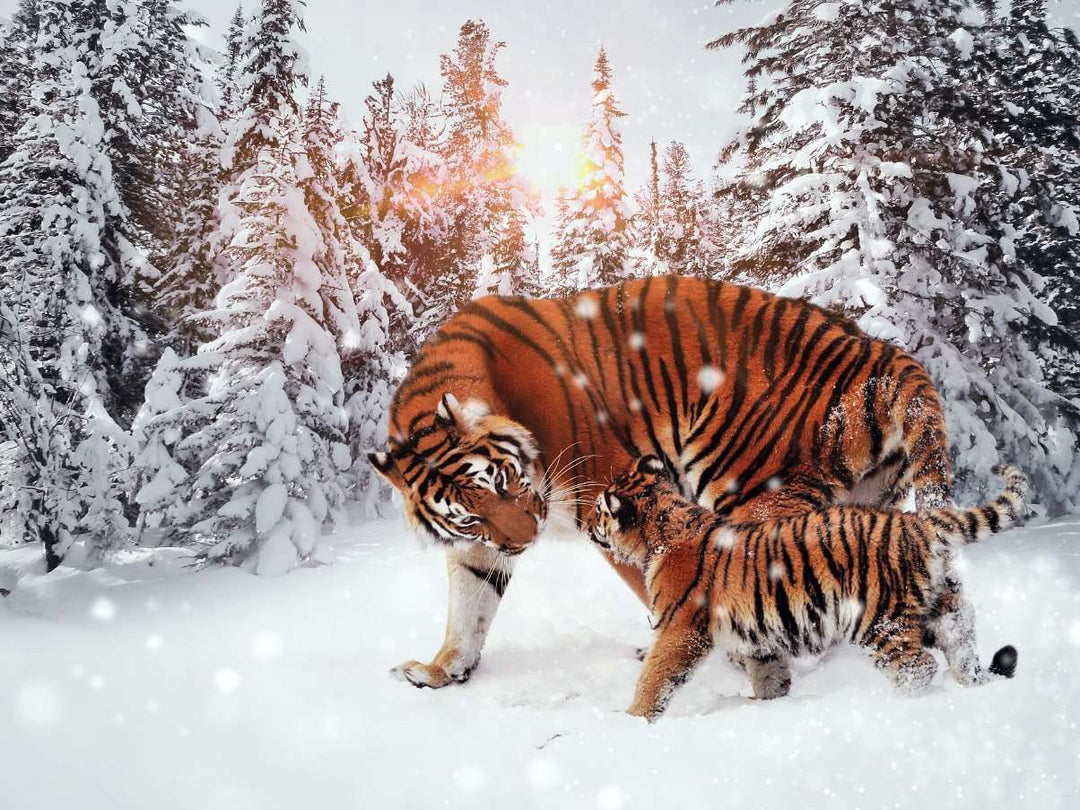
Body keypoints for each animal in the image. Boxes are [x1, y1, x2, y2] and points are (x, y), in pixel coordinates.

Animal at [367, 275, 955, 690]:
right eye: (470, 515)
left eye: (505, 481)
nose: (527, 540)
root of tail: (880, 351)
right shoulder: (481, 545)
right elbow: (469, 606)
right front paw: (441, 670)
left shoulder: (606, 494)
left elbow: (651, 582)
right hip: (866, 503)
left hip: (748, 488)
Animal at [587, 455, 1026, 721]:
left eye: (598, 511)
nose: (588, 526)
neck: (661, 530)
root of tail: (917, 522)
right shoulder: (758, 636)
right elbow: (768, 674)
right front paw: (766, 705)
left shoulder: (680, 630)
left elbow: (655, 677)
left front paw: (632, 719)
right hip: (937, 606)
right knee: (960, 639)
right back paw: (975, 685)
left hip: (877, 619)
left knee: (917, 667)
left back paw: (895, 705)